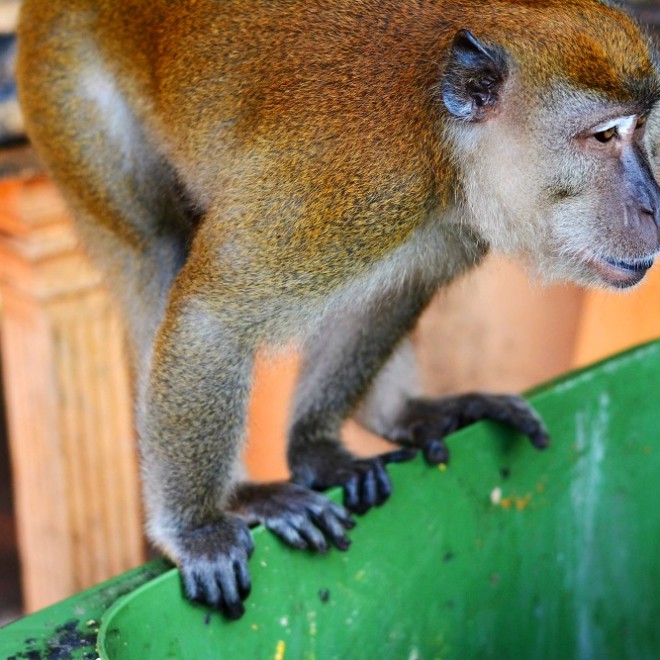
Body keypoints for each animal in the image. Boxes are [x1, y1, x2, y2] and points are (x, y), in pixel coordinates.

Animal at [15, 0, 660, 620]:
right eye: (604, 136)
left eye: (643, 128)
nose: (654, 206)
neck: (441, 138)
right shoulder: (350, 185)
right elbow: (211, 317)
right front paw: (198, 531)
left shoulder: (447, 215)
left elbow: (388, 296)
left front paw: (316, 449)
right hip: (65, 87)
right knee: (154, 247)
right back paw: (239, 496)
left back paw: (397, 412)